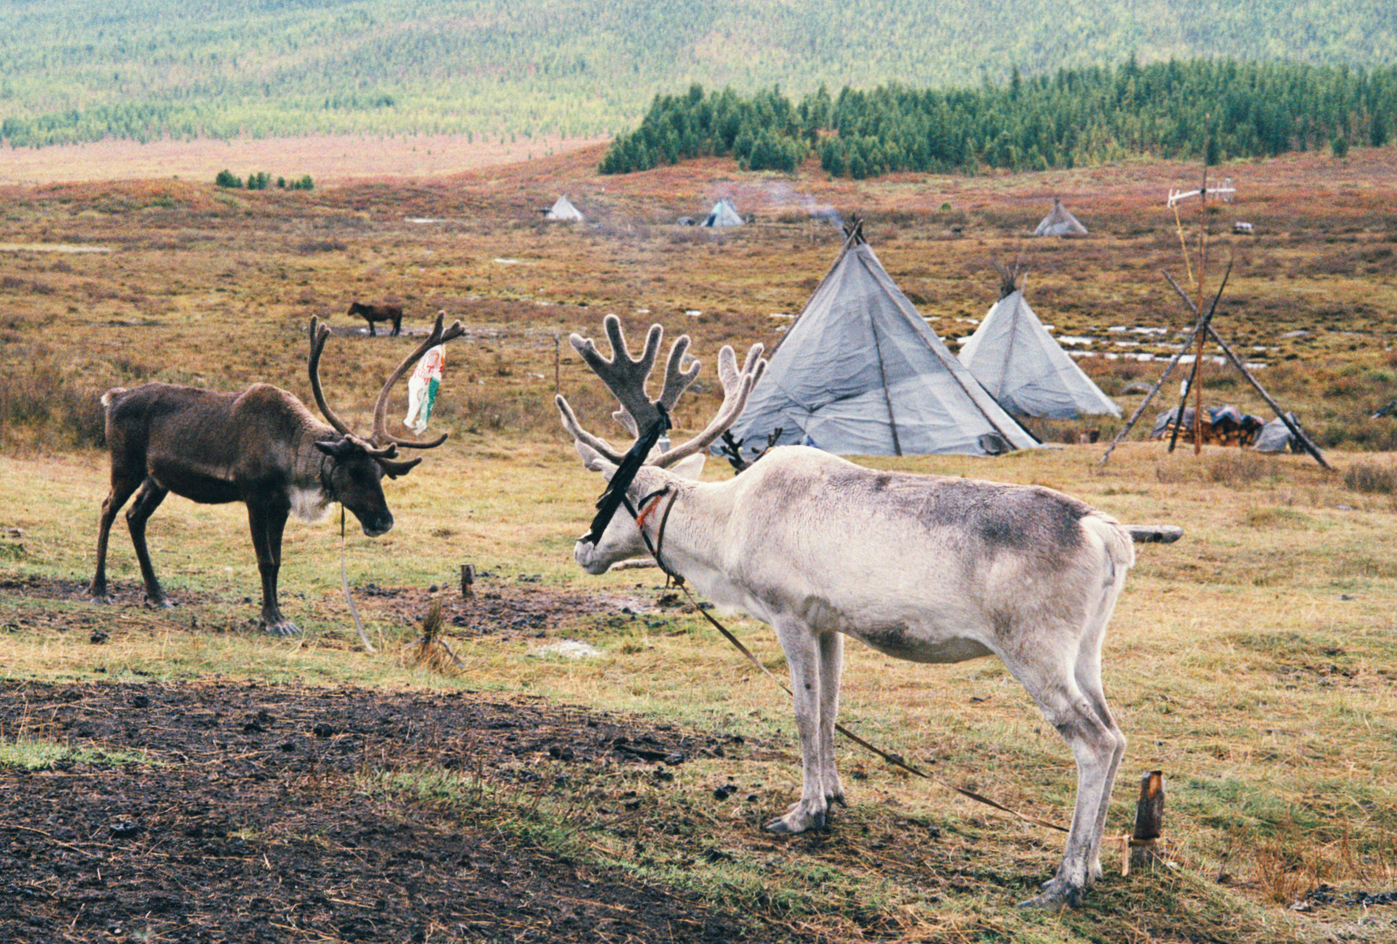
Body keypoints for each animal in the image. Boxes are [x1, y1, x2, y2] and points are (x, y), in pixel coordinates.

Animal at [90, 315, 466, 633]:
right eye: (355, 471)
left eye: (380, 473)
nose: (383, 521)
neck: (290, 453)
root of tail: (113, 397)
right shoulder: (255, 497)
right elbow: (265, 560)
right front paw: (273, 620)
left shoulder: (281, 504)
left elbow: (280, 560)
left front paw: (276, 615)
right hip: (125, 466)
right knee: (108, 508)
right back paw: (99, 590)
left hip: (158, 480)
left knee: (135, 517)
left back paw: (158, 595)